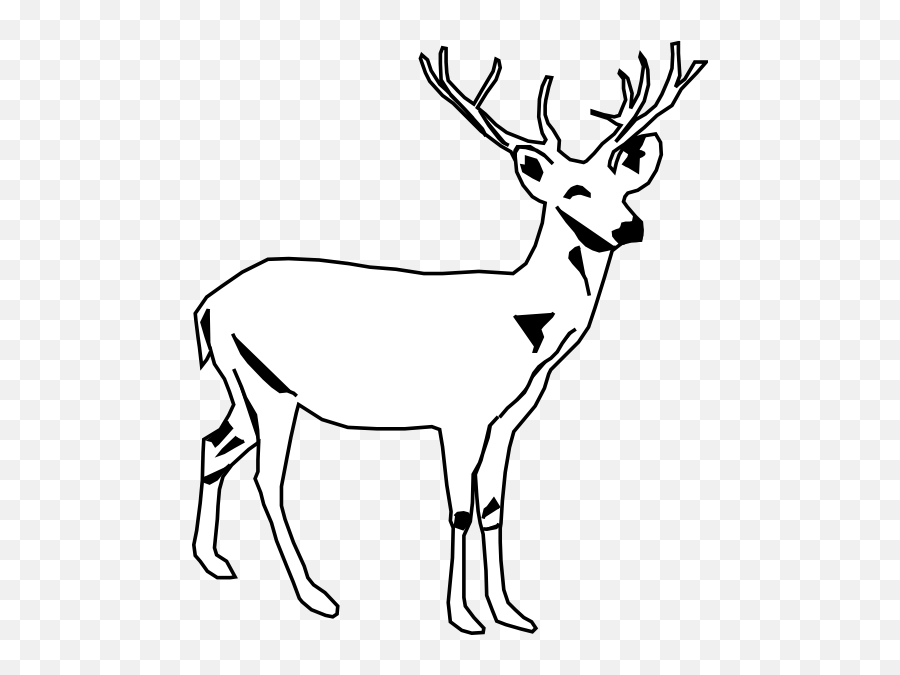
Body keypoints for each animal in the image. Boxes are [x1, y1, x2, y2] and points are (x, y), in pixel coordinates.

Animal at [192, 43, 706, 634]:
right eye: (573, 191)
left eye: (623, 187)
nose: (630, 227)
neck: (528, 330)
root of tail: (208, 305)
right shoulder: (459, 415)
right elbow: (459, 509)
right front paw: (464, 617)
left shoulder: (507, 420)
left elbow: (493, 507)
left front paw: (511, 612)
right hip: (269, 388)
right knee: (267, 478)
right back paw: (317, 595)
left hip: (243, 384)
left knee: (215, 443)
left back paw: (212, 560)